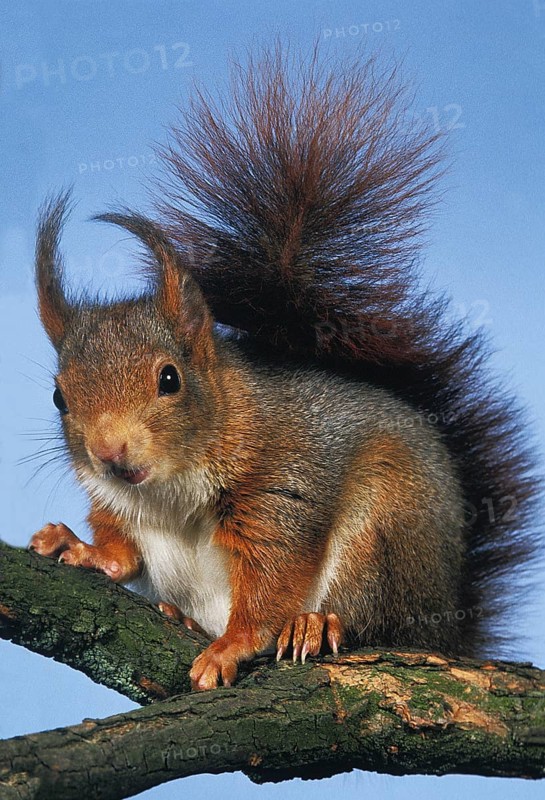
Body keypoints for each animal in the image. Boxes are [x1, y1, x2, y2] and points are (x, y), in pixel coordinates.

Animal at [29, 44, 539, 691]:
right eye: (59, 398)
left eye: (170, 378)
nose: (109, 452)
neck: (170, 487)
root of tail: (451, 628)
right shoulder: (116, 501)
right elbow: (124, 553)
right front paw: (81, 547)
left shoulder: (279, 489)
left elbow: (271, 582)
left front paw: (232, 645)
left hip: (385, 527)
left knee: (371, 614)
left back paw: (317, 623)